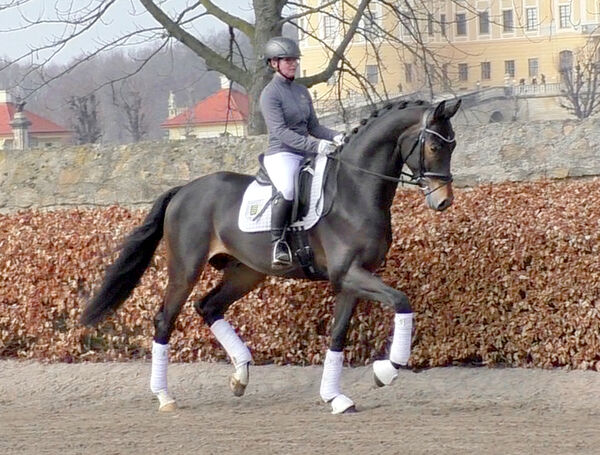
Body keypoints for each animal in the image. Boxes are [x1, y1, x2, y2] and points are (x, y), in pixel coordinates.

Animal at [82, 98, 462, 416]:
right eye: (433, 146)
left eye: (453, 144)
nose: (443, 201)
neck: (355, 191)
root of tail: (184, 191)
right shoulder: (349, 273)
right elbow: (401, 301)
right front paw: (386, 370)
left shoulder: (352, 279)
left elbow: (338, 335)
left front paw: (335, 397)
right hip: (185, 269)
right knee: (165, 320)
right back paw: (165, 396)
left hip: (246, 272)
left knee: (209, 306)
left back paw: (240, 377)